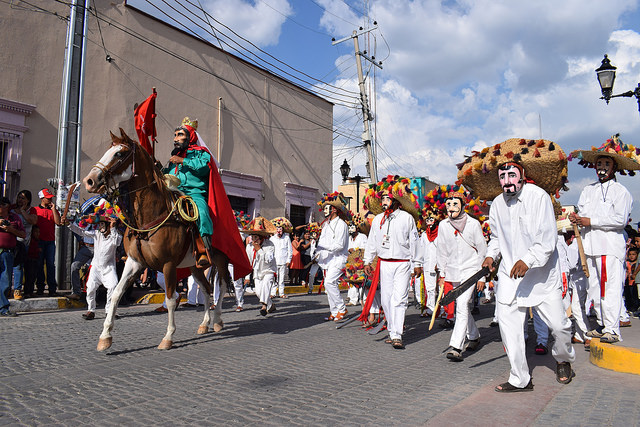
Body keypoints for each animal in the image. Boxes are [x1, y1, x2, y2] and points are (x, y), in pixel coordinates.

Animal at [83, 128, 230, 350]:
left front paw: (168, 337)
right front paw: (105, 337)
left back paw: (219, 321)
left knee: (220, 289)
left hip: (220, 261)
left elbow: (171, 299)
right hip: (195, 266)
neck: (151, 216)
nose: (90, 180)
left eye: (119, 154)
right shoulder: (134, 262)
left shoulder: (168, 265)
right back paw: (205, 324)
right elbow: (116, 293)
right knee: (205, 289)